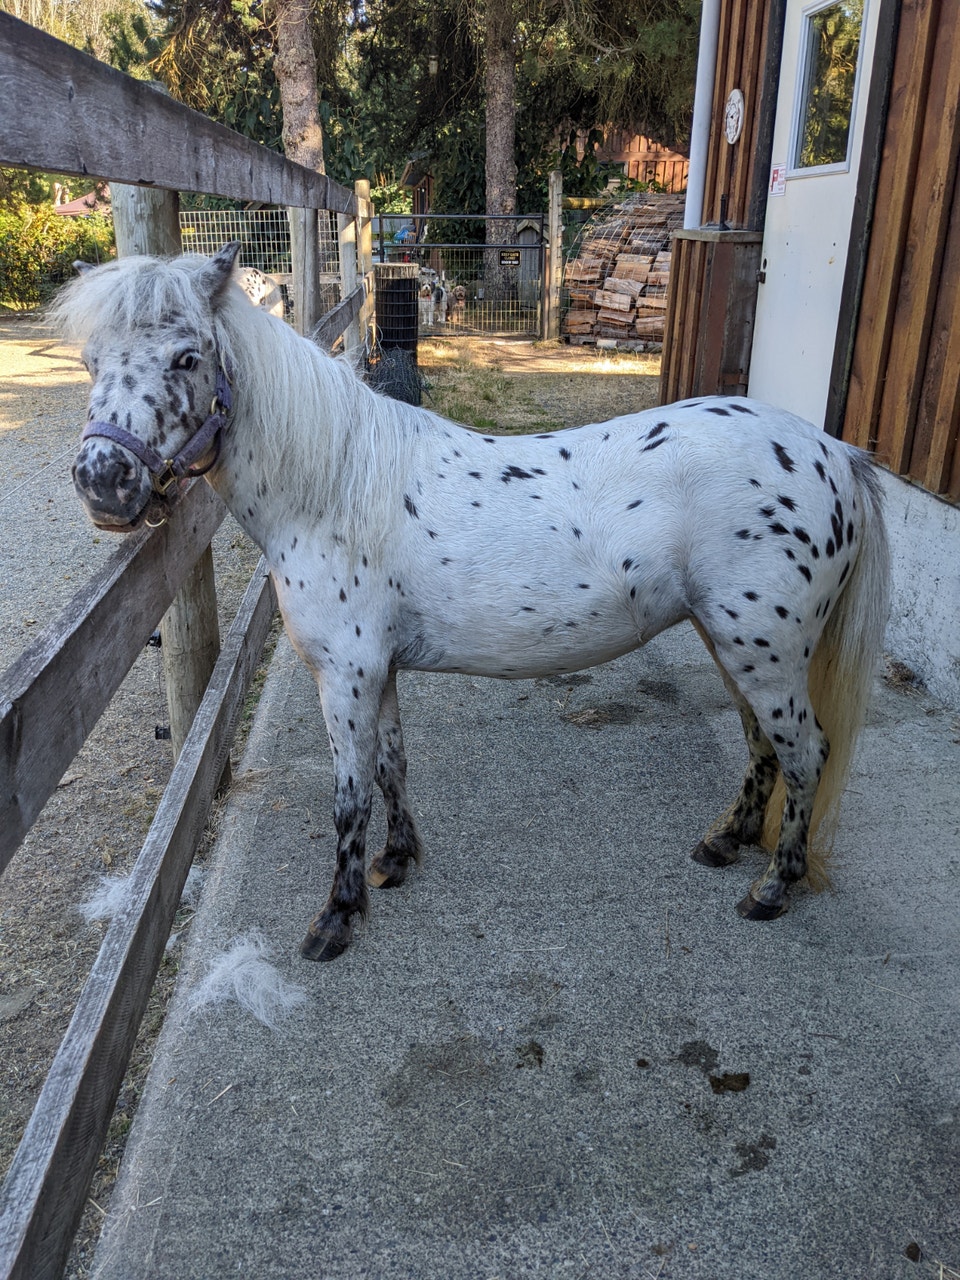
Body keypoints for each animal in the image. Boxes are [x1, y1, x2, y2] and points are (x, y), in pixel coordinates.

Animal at [53, 242, 890, 962]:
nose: (102, 484)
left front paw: (336, 918)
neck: (333, 488)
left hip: (764, 653)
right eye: (91, 361)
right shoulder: (379, 672)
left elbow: (349, 796)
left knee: (804, 749)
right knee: (761, 742)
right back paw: (728, 841)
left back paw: (773, 887)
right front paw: (397, 861)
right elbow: (391, 766)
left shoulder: (345, 676)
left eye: (187, 357)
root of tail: (836, 455)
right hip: (737, 646)